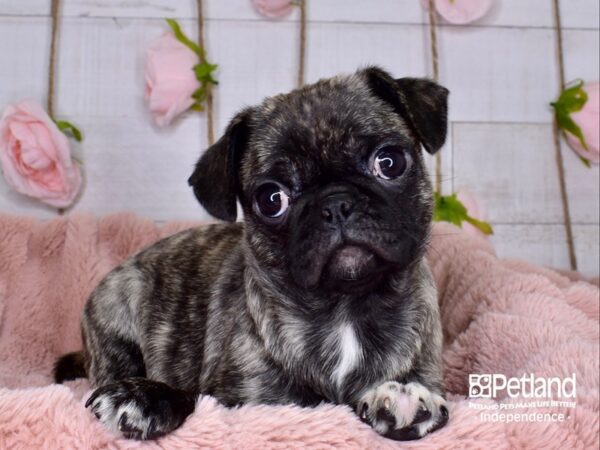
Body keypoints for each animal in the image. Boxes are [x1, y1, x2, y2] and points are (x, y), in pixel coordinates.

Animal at [55, 67, 450, 440]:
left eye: (389, 162)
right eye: (272, 199)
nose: (335, 203)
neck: (345, 311)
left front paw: (403, 397)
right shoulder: (241, 397)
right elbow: (198, 396)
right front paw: (146, 398)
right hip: (115, 308)